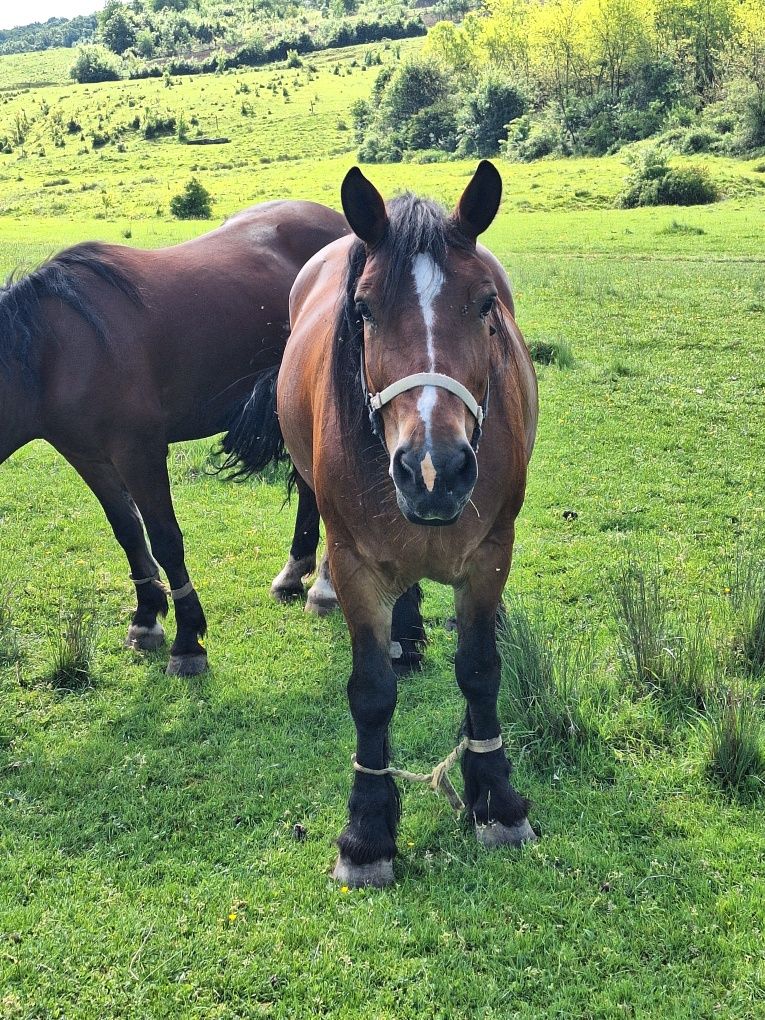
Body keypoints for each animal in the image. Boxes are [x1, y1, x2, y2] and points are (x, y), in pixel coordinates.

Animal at [0, 201, 346, 673]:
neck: (57, 350)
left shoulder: (140, 453)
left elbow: (165, 539)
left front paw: (187, 642)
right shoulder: (87, 456)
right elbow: (128, 532)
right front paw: (146, 619)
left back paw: (324, 588)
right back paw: (293, 575)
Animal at [227, 163, 538, 889]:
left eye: (485, 305)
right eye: (364, 309)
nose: (434, 469)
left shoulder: (490, 555)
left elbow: (480, 669)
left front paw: (495, 795)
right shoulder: (357, 566)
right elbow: (370, 692)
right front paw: (367, 831)